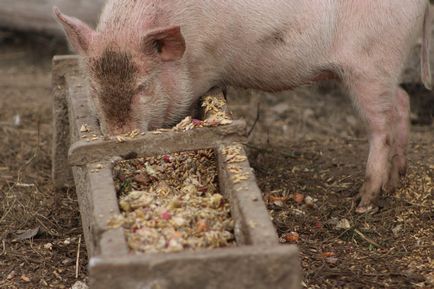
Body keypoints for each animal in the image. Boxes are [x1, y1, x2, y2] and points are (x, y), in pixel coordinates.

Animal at [53, 0, 430, 212]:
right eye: (93, 87)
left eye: (143, 87)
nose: (120, 137)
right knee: (401, 102)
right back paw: (396, 180)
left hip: (371, 64)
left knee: (381, 125)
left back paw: (364, 202)